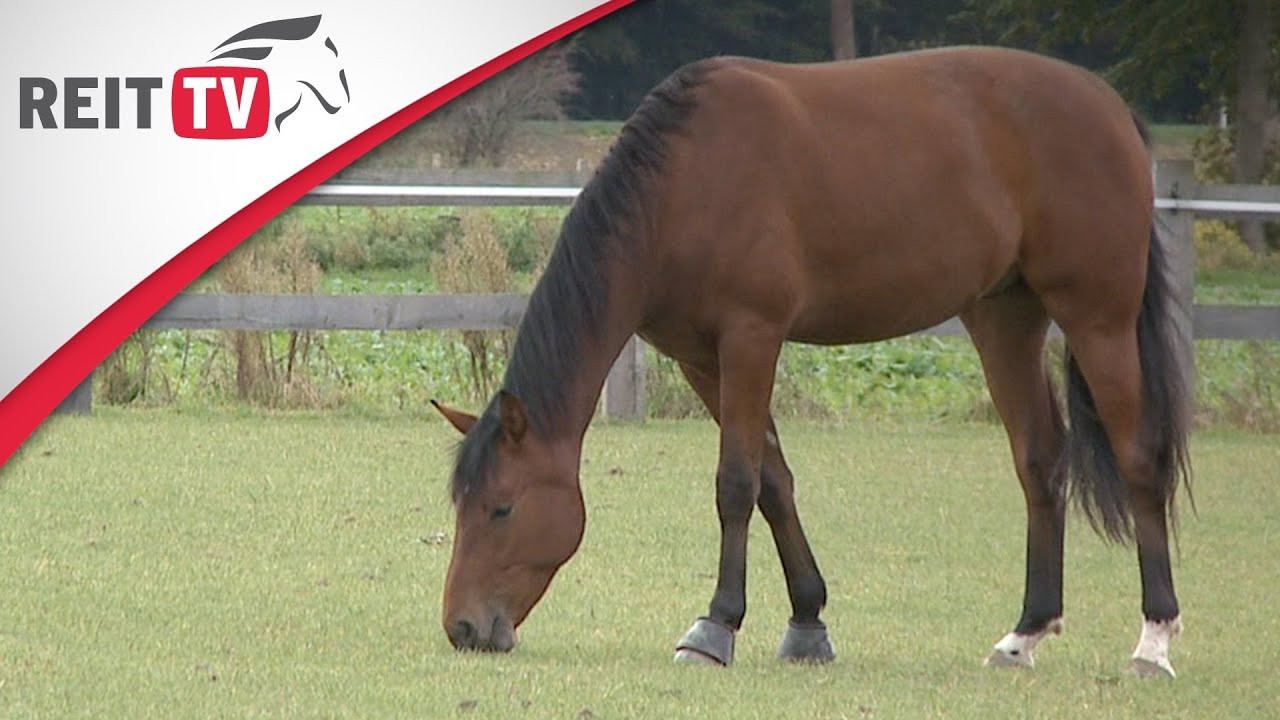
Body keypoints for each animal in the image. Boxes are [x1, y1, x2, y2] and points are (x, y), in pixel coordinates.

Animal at [430, 47, 1187, 676]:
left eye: (500, 507)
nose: (463, 627)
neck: (684, 184)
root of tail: (1110, 106)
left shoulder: (751, 338)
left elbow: (736, 482)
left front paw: (715, 627)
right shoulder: (703, 358)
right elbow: (773, 482)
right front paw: (807, 622)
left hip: (1097, 318)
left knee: (1138, 458)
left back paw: (1152, 641)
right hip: (1005, 317)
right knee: (1039, 461)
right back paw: (1024, 634)